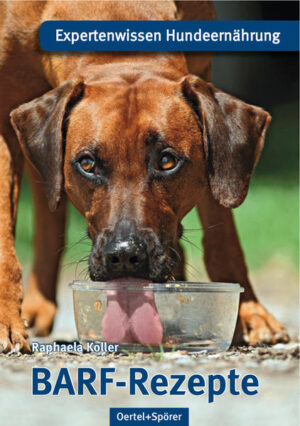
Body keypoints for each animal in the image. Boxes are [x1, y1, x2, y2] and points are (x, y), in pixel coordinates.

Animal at [0, 0, 288, 352]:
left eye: (167, 161)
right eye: (87, 164)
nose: (124, 256)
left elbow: (222, 228)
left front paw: (249, 314)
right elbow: (4, 238)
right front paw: (6, 322)